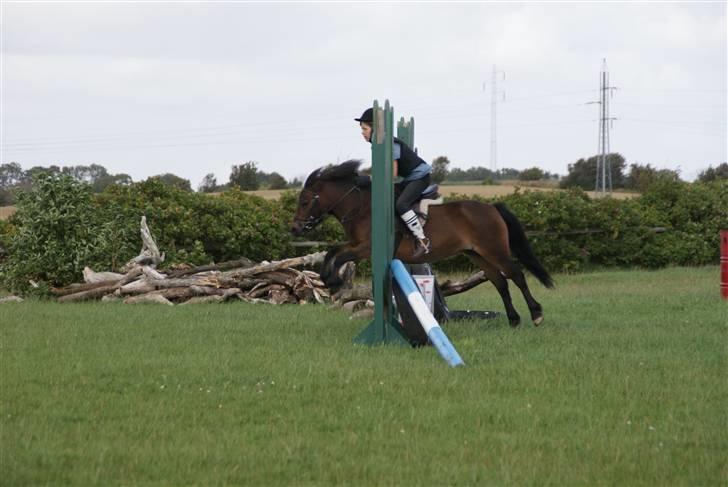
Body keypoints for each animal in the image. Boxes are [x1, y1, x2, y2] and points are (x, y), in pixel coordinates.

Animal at [290, 160, 554, 326]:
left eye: (305, 201)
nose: (294, 229)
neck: (362, 209)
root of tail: (492, 208)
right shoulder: (356, 244)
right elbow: (333, 252)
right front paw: (328, 280)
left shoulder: (366, 248)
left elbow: (341, 256)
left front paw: (334, 282)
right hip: (476, 253)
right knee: (499, 280)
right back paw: (513, 319)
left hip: (493, 249)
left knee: (515, 274)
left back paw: (536, 314)